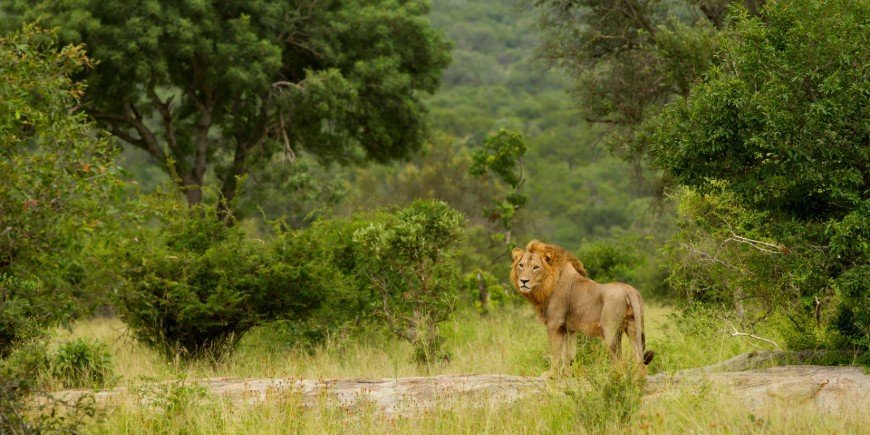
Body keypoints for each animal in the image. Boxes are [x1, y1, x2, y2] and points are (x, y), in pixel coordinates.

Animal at [510, 240, 654, 377]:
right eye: (521, 265)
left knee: (620, 362)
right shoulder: (568, 329)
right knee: (640, 362)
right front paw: (567, 374)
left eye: (535, 267)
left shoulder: (554, 324)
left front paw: (551, 374)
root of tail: (630, 291)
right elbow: (567, 354)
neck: (547, 285)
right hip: (633, 328)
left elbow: (555, 353)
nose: (524, 281)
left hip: (610, 330)